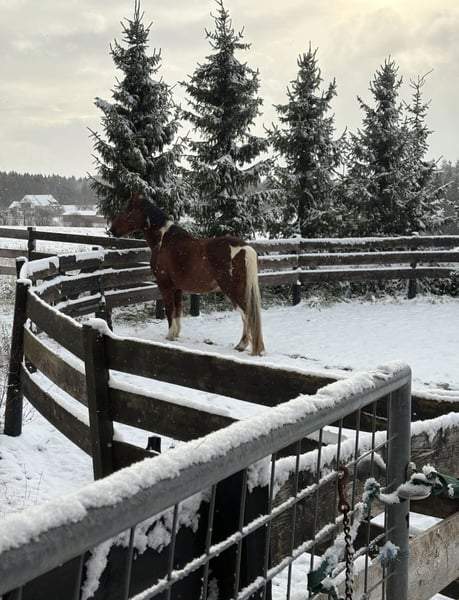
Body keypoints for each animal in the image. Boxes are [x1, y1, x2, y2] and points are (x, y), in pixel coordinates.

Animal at [109, 193, 265, 355]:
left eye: (126, 210)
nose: (112, 230)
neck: (164, 240)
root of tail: (245, 248)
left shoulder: (164, 285)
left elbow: (170, 310)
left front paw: (169, 335)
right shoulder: (178, 287)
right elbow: (178, 311)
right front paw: (176, 335)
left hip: (233, 291)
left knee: (247, 315)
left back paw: (246, 346)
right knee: (246, 316)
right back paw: (242, 345)